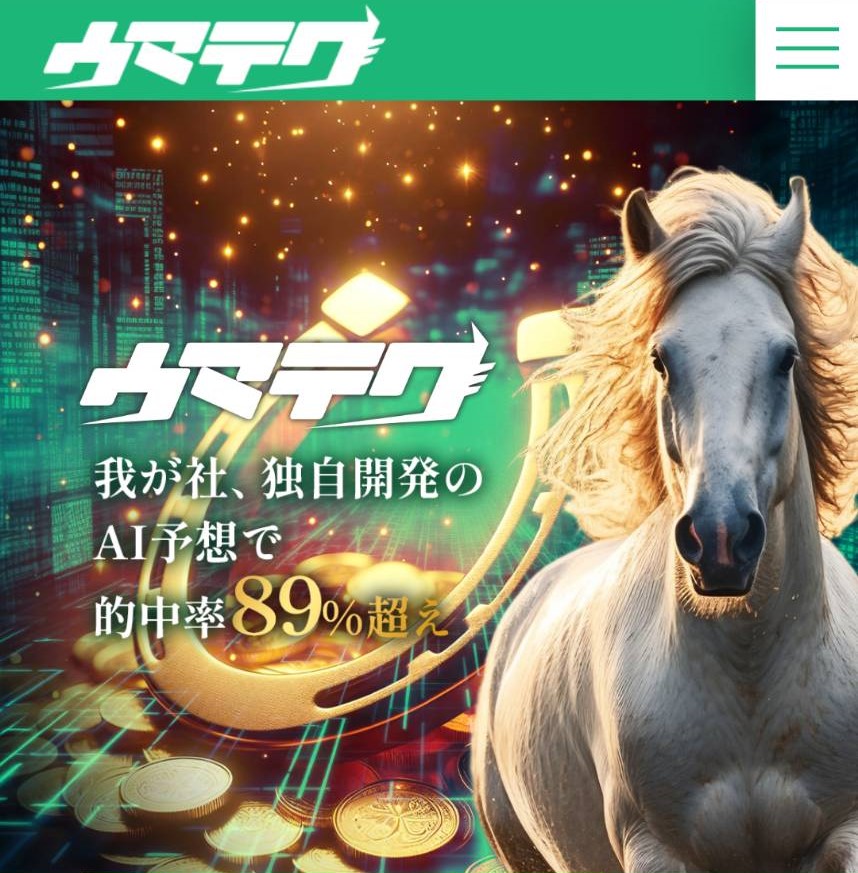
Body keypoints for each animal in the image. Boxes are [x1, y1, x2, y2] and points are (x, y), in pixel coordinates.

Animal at [473, 168, 858, 873]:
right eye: (661, 359)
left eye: (786, 357)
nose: (722, 538)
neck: (750, 687)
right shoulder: (655, 851)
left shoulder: (845, 834)